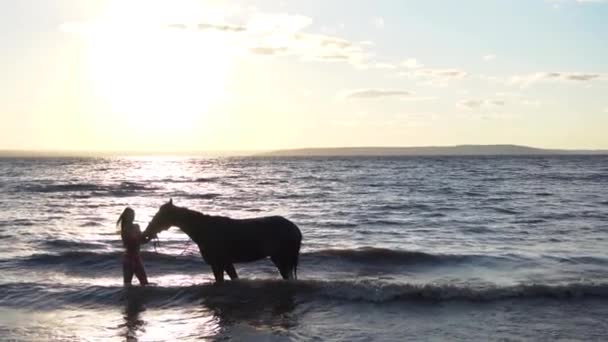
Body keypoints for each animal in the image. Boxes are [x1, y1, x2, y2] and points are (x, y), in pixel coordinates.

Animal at [143, 199, 304, 282]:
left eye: (160, 216)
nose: (146, 233)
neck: (204, 229)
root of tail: (295, 229)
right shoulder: (224, 264)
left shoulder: (218, 264)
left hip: (281, 260)